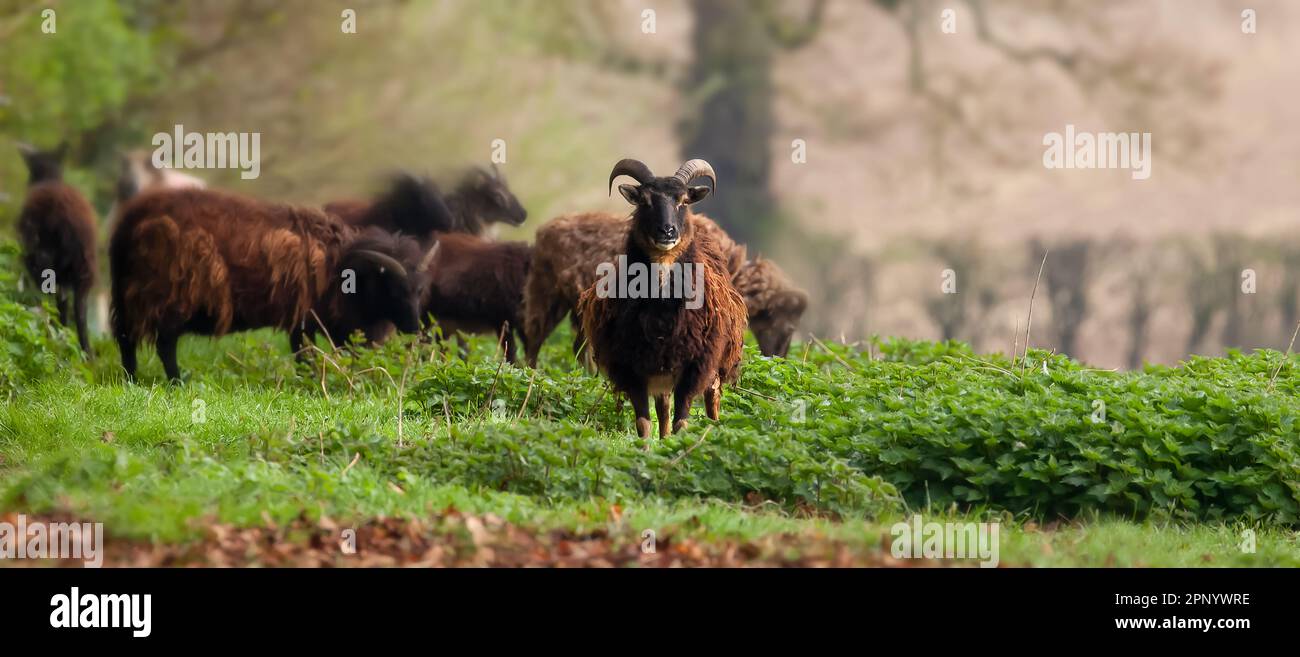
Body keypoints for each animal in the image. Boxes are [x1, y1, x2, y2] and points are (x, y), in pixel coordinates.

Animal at [15, 142, 98, 353]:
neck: (49, 177)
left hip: (44, 263)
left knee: (49, 303)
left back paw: (52, 338)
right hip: (84, 272)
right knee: (79, 312)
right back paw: (85, 353)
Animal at [110, 186, 431, 379]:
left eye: (419, 290)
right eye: (392, 289)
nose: (415, 329)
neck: (340, 267)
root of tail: (129, 221)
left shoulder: (302, 321)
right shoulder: (304, 319)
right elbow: (304, 355)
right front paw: (309, 381)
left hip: (128, 297)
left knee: (126, 339)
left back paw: (131, 379)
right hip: (168, 296)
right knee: (164, 343)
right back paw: (176, 382)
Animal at [577, 156, 748, 437]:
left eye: (683, 201)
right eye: (645, 201)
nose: (667, 231)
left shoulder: (694, 367)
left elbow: (682, 421)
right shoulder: (631, 369)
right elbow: (644, 423)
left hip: (715, 365)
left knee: (712, 401)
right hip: (661, 374)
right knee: (663, 410)